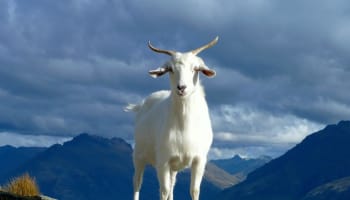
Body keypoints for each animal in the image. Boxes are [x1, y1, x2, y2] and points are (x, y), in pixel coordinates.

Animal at [126, 36, 217, 199]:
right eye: (170, 69)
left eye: (195, 69)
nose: (181, 88)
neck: (184, 124)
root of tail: (141, 105)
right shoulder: (163, 161)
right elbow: (164, 191)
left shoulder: (199, 160)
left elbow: (194, 190)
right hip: (139, 156)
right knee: (137, 182)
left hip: (174, 166)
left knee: (172, 185)